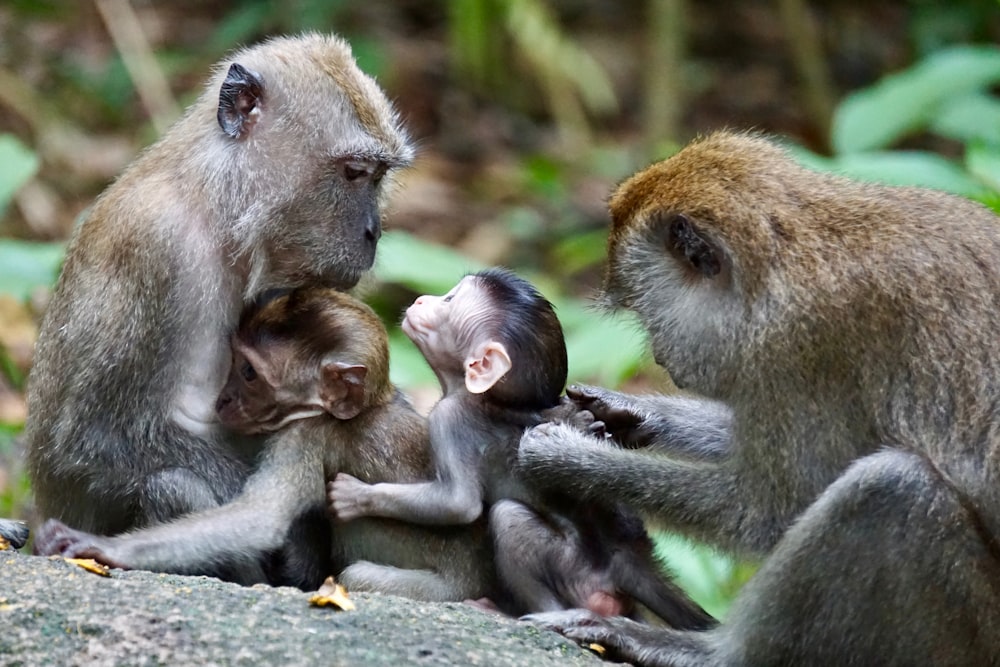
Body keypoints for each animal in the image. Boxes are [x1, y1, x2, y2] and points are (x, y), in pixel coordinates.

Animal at [27, 32, 412, 564]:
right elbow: (94, 438)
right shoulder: (154, 244)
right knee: (173, 483)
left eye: (378, 176)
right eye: (354, 172)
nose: (373, 232)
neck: (216, 205)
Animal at [36, 288, 496, 600]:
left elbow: (261, 518)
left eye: (249, 373)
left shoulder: (304, 438)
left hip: (440, 590)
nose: (222, 399)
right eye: (235, 361)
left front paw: (103, 547)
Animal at [328, 266, 712, 628]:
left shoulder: (449, 419)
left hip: (576, 573)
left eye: (449, 301)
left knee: (508, 517)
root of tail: (624, 561)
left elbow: (458, 503)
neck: (487, 398)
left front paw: (356, 496)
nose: (421, 300)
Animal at [520, 129, 1000, 664]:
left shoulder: (803, 345)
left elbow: (769, 512)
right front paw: (631, 413)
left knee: (892, 488)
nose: (661, 354)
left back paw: (711, 654)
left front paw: (569, 459)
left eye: (645, 313)